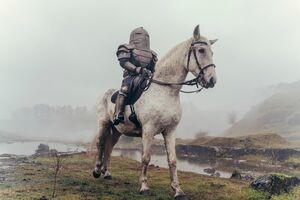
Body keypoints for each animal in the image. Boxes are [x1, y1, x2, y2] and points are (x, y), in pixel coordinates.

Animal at [92, 25, 217, 200]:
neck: (164, 91)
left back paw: (107, 172)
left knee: (109, 146)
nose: (212, 80)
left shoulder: (170, 131)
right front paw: (144, 187)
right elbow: (145, 158)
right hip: (103, 123)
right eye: (201, 50)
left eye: (212, 52)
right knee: (101, 143)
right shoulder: (148, 130)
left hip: (117, 130)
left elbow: (172, 160)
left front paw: (177, 190)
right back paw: (97, 171)